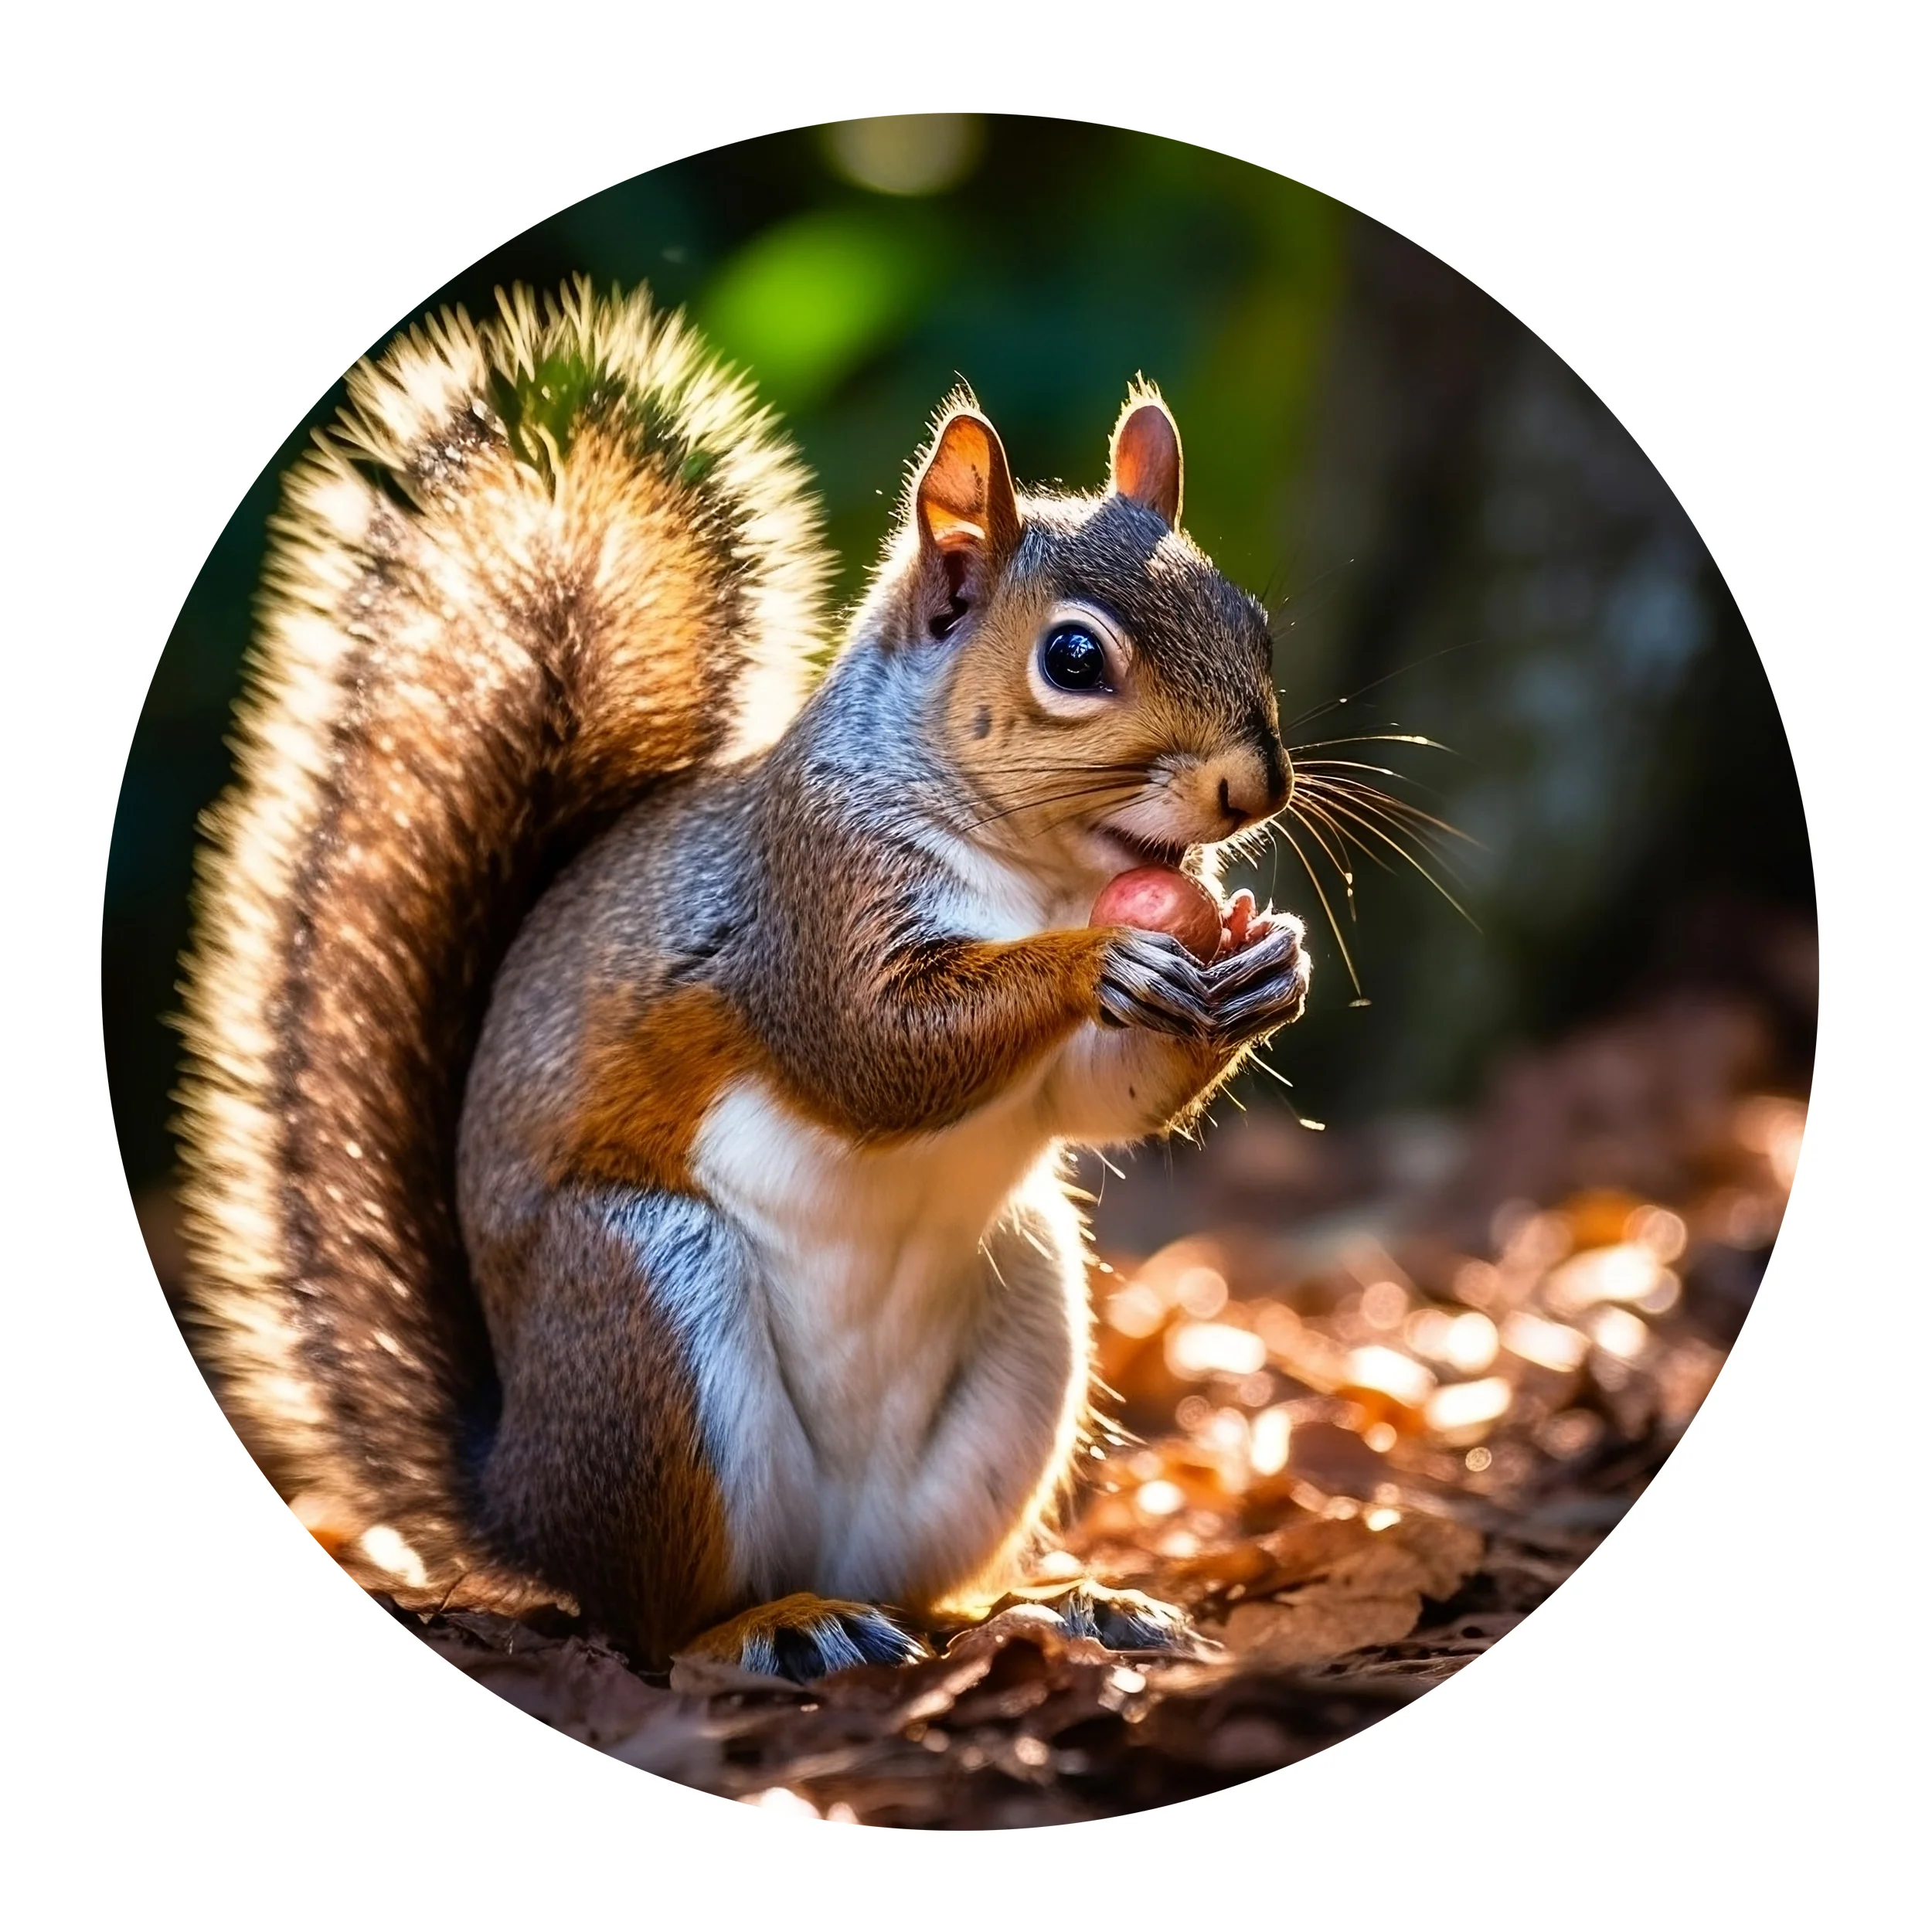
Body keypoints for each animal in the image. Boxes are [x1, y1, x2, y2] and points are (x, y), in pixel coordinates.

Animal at [176, 279, 1311, 1681]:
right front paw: (1100, 960)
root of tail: (519, 1502)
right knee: (662, 1621)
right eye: (1075, 661)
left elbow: (1097, 1098)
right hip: (648, 1311)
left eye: (1255, 625)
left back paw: (1043, 1605)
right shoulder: (802, 908)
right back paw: (771, 1626)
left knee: (919, 1591)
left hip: (1025, 1325)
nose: (1256, 788)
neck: (1042, 874)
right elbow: (874, 1053)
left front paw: (1266, 965)